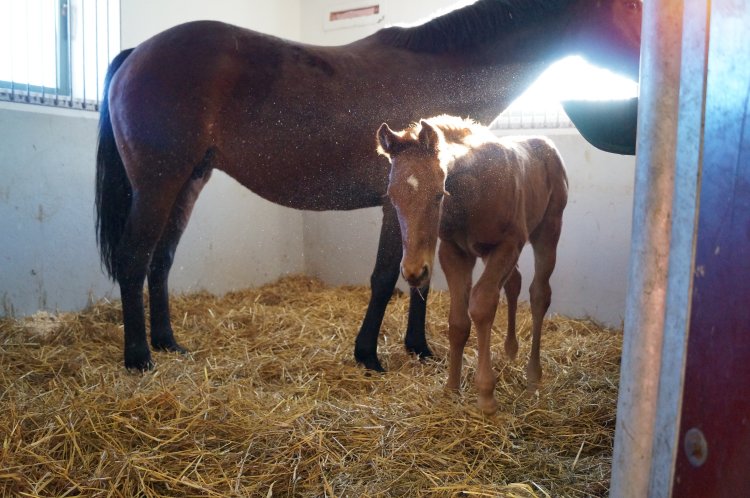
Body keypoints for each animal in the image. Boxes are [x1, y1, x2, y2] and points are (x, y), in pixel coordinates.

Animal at [97, 0, 644, 370]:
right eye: (632, 7)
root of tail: (138, 52)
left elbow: (423, 277)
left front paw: (419, 348)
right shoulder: (392, 204)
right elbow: (387, 276)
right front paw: (368, 354)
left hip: (188, 183)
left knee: (161, 261)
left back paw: (168, 343)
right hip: (157, 184)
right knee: (134, 257)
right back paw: (139, 356)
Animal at [378, 115, 568, 412]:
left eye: (439, 194)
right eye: (391, 197)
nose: (414, 272)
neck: (474, 191)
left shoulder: (508, 245)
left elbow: (481, 306)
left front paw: (486, 395)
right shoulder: (453, 253)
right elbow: (457, 322)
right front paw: (451, 388)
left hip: (548, 230)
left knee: (539, 294)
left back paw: (533, 375)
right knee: (514, 282)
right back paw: (510, 350)